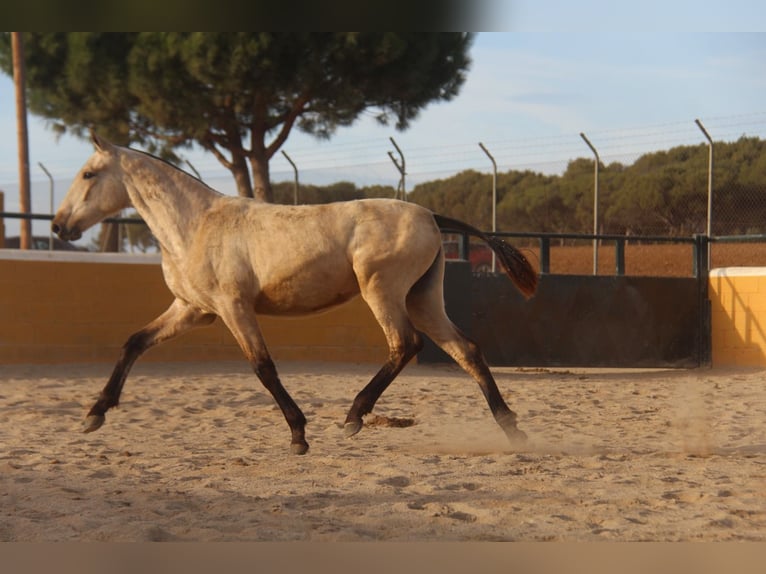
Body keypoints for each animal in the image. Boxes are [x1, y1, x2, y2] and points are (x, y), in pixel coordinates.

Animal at [52, 132, 538, 455]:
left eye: (89, 173)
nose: (59, 226)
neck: (195, 225)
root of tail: (430, 215)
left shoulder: (233, 308)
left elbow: (263, 367)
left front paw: (299, 434)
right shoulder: (192, 309)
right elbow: (134, 342)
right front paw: (95, 414)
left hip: (383, 291)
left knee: (405, 345)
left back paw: (353, 417)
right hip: (423, 298)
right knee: (465, 350)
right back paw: (511, 427)